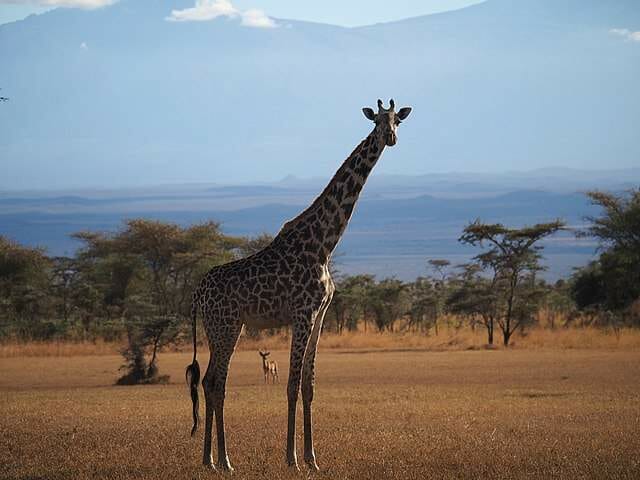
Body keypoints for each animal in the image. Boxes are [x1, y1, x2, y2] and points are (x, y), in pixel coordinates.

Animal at [185, 98, 416, 472]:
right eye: (377, 121)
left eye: (398, 120)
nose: (391, 138)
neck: (324, 244)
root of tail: (196, 293)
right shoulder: (302, 314)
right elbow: (292, 385)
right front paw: (291, 458)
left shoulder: (320, 315)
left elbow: (309, 386)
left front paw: (312, 458)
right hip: (225, 325)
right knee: (215, 383)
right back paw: (221, 460)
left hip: (224, 326)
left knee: (209, 381)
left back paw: (213, 460)